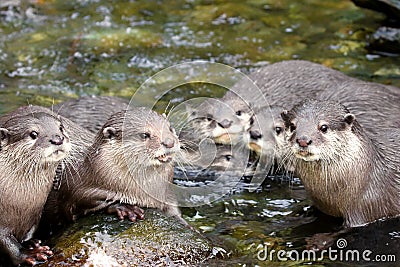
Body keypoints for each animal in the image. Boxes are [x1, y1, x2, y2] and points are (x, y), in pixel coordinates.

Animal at [0, 105, 70, 266]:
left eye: (61, 127)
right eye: (33, 134)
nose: (57, 139)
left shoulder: (36, 213)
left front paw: (31, 243)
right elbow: (7, 243)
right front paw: (30, 254)